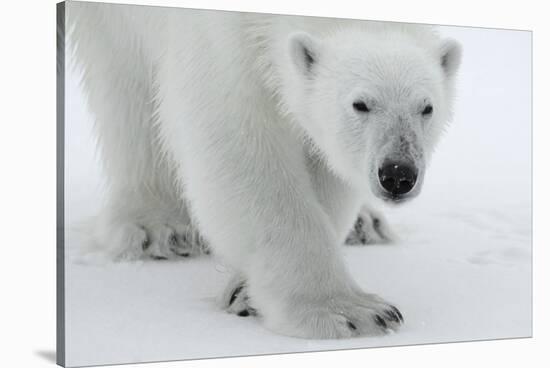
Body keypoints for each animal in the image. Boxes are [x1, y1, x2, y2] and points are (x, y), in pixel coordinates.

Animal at [70, 2, 462, 340]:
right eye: (360, 104)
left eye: (426, 108)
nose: (397, 174)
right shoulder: (215, 36)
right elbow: (236, 140)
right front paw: (348, 312)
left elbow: (322, 157)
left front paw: (245, 292)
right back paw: (159, 227)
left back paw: (365, 224)